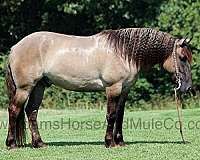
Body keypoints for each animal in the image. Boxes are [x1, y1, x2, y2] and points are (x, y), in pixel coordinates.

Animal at [5, 27, 192, 149]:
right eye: (182, 58)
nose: (187, 87)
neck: (124, 53)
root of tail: (15, 47)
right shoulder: (113, 88)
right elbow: (111, 115)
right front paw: (110, 142)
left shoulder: (124, 91)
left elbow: (120, 116)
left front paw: (120, 141)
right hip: (24, 88)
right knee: (14, 110)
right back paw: (12, 144)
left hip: (39, 87)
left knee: (31, 112)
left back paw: (39, 143)